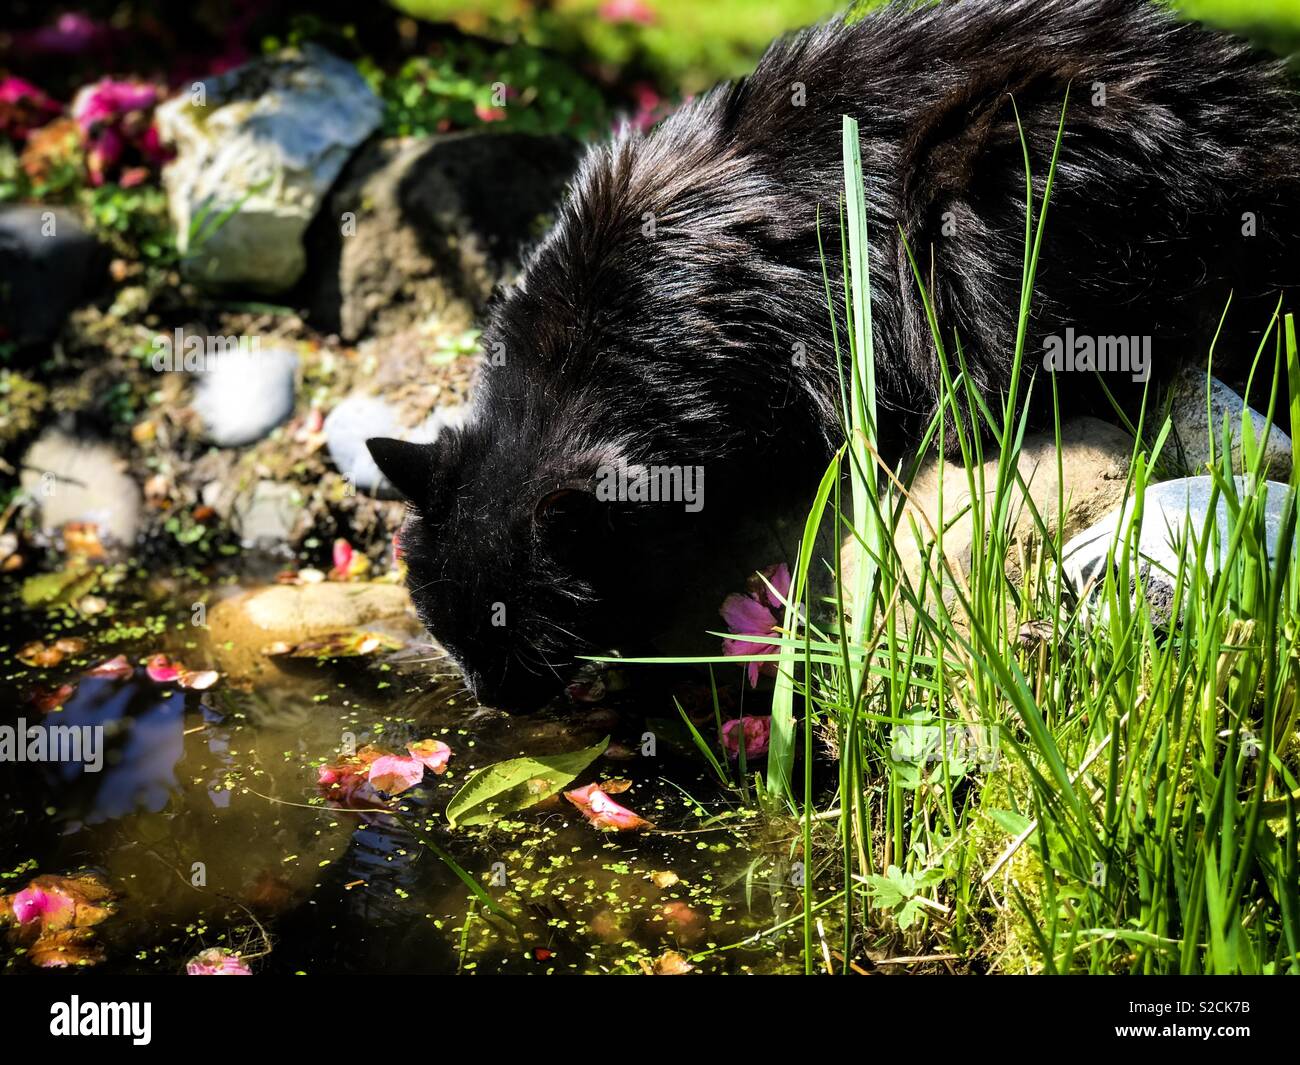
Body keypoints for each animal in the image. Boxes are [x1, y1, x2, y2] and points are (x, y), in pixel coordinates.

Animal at [364, 2, 1300, 717]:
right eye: (443, 630)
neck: (613, 331)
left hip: (984, 171)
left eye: (519, 634)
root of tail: (1252, 111)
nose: (491, 699)